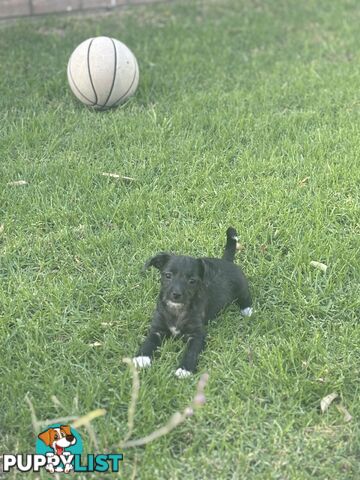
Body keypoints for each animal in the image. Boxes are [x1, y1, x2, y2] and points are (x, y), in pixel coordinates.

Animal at [133, 229, 253, 378]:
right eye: (168, 275)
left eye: (192, 281)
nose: (176, 294)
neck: (177, 309)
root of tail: (227, 261)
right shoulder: (157, 329)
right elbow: (149, 341)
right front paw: (142, 358)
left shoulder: (197, 335)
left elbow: (191, 352)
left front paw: (184, 369)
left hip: (242, 288)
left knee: (246, 297)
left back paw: (247, 310)